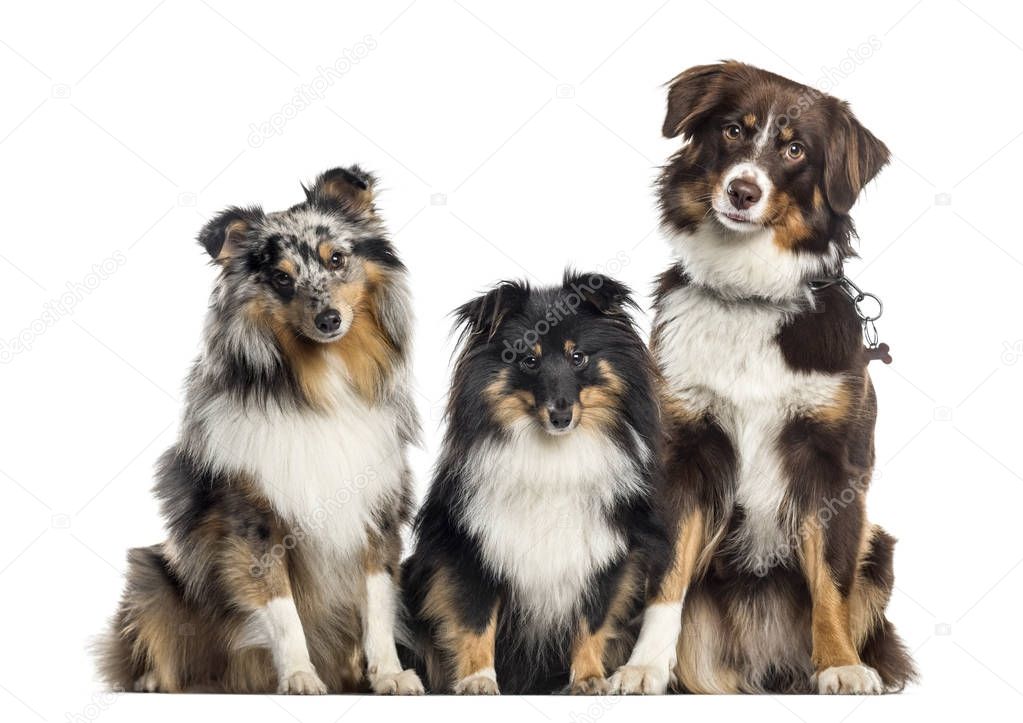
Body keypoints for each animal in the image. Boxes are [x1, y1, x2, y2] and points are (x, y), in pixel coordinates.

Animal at [605, 62, 920, 695]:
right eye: (733, 130)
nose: (742, 191)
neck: (749, 295)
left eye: (796, 149)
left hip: (881, 546)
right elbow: (667, 576)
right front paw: (645, 666)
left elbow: (831, 579)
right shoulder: (684, 450)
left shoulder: (833, 462)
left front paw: (841, 665)